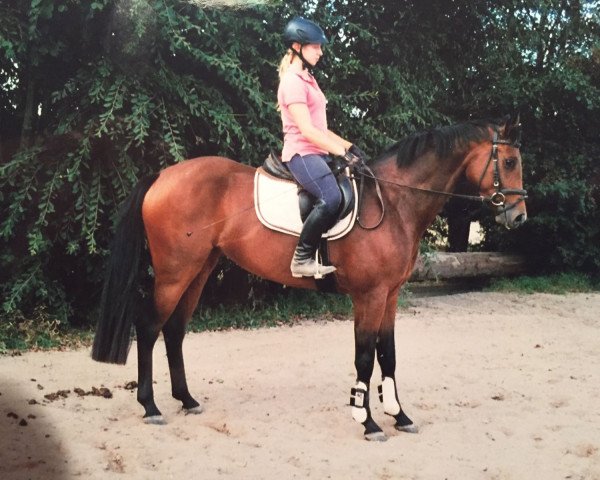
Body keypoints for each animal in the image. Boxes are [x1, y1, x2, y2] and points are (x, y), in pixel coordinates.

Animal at [91, 114, 528, 440]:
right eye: (509, 163)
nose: (519, 217)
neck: (395, 202)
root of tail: (162, 176)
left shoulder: (390, 295)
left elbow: (388, 354)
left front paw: (400, 416)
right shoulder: (369, 296)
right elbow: (365, 357)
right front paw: (367, 421)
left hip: (198, 270)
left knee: (175, 330)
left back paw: (186, 399)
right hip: (174, 272)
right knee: (149, 327)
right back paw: (150, 406)